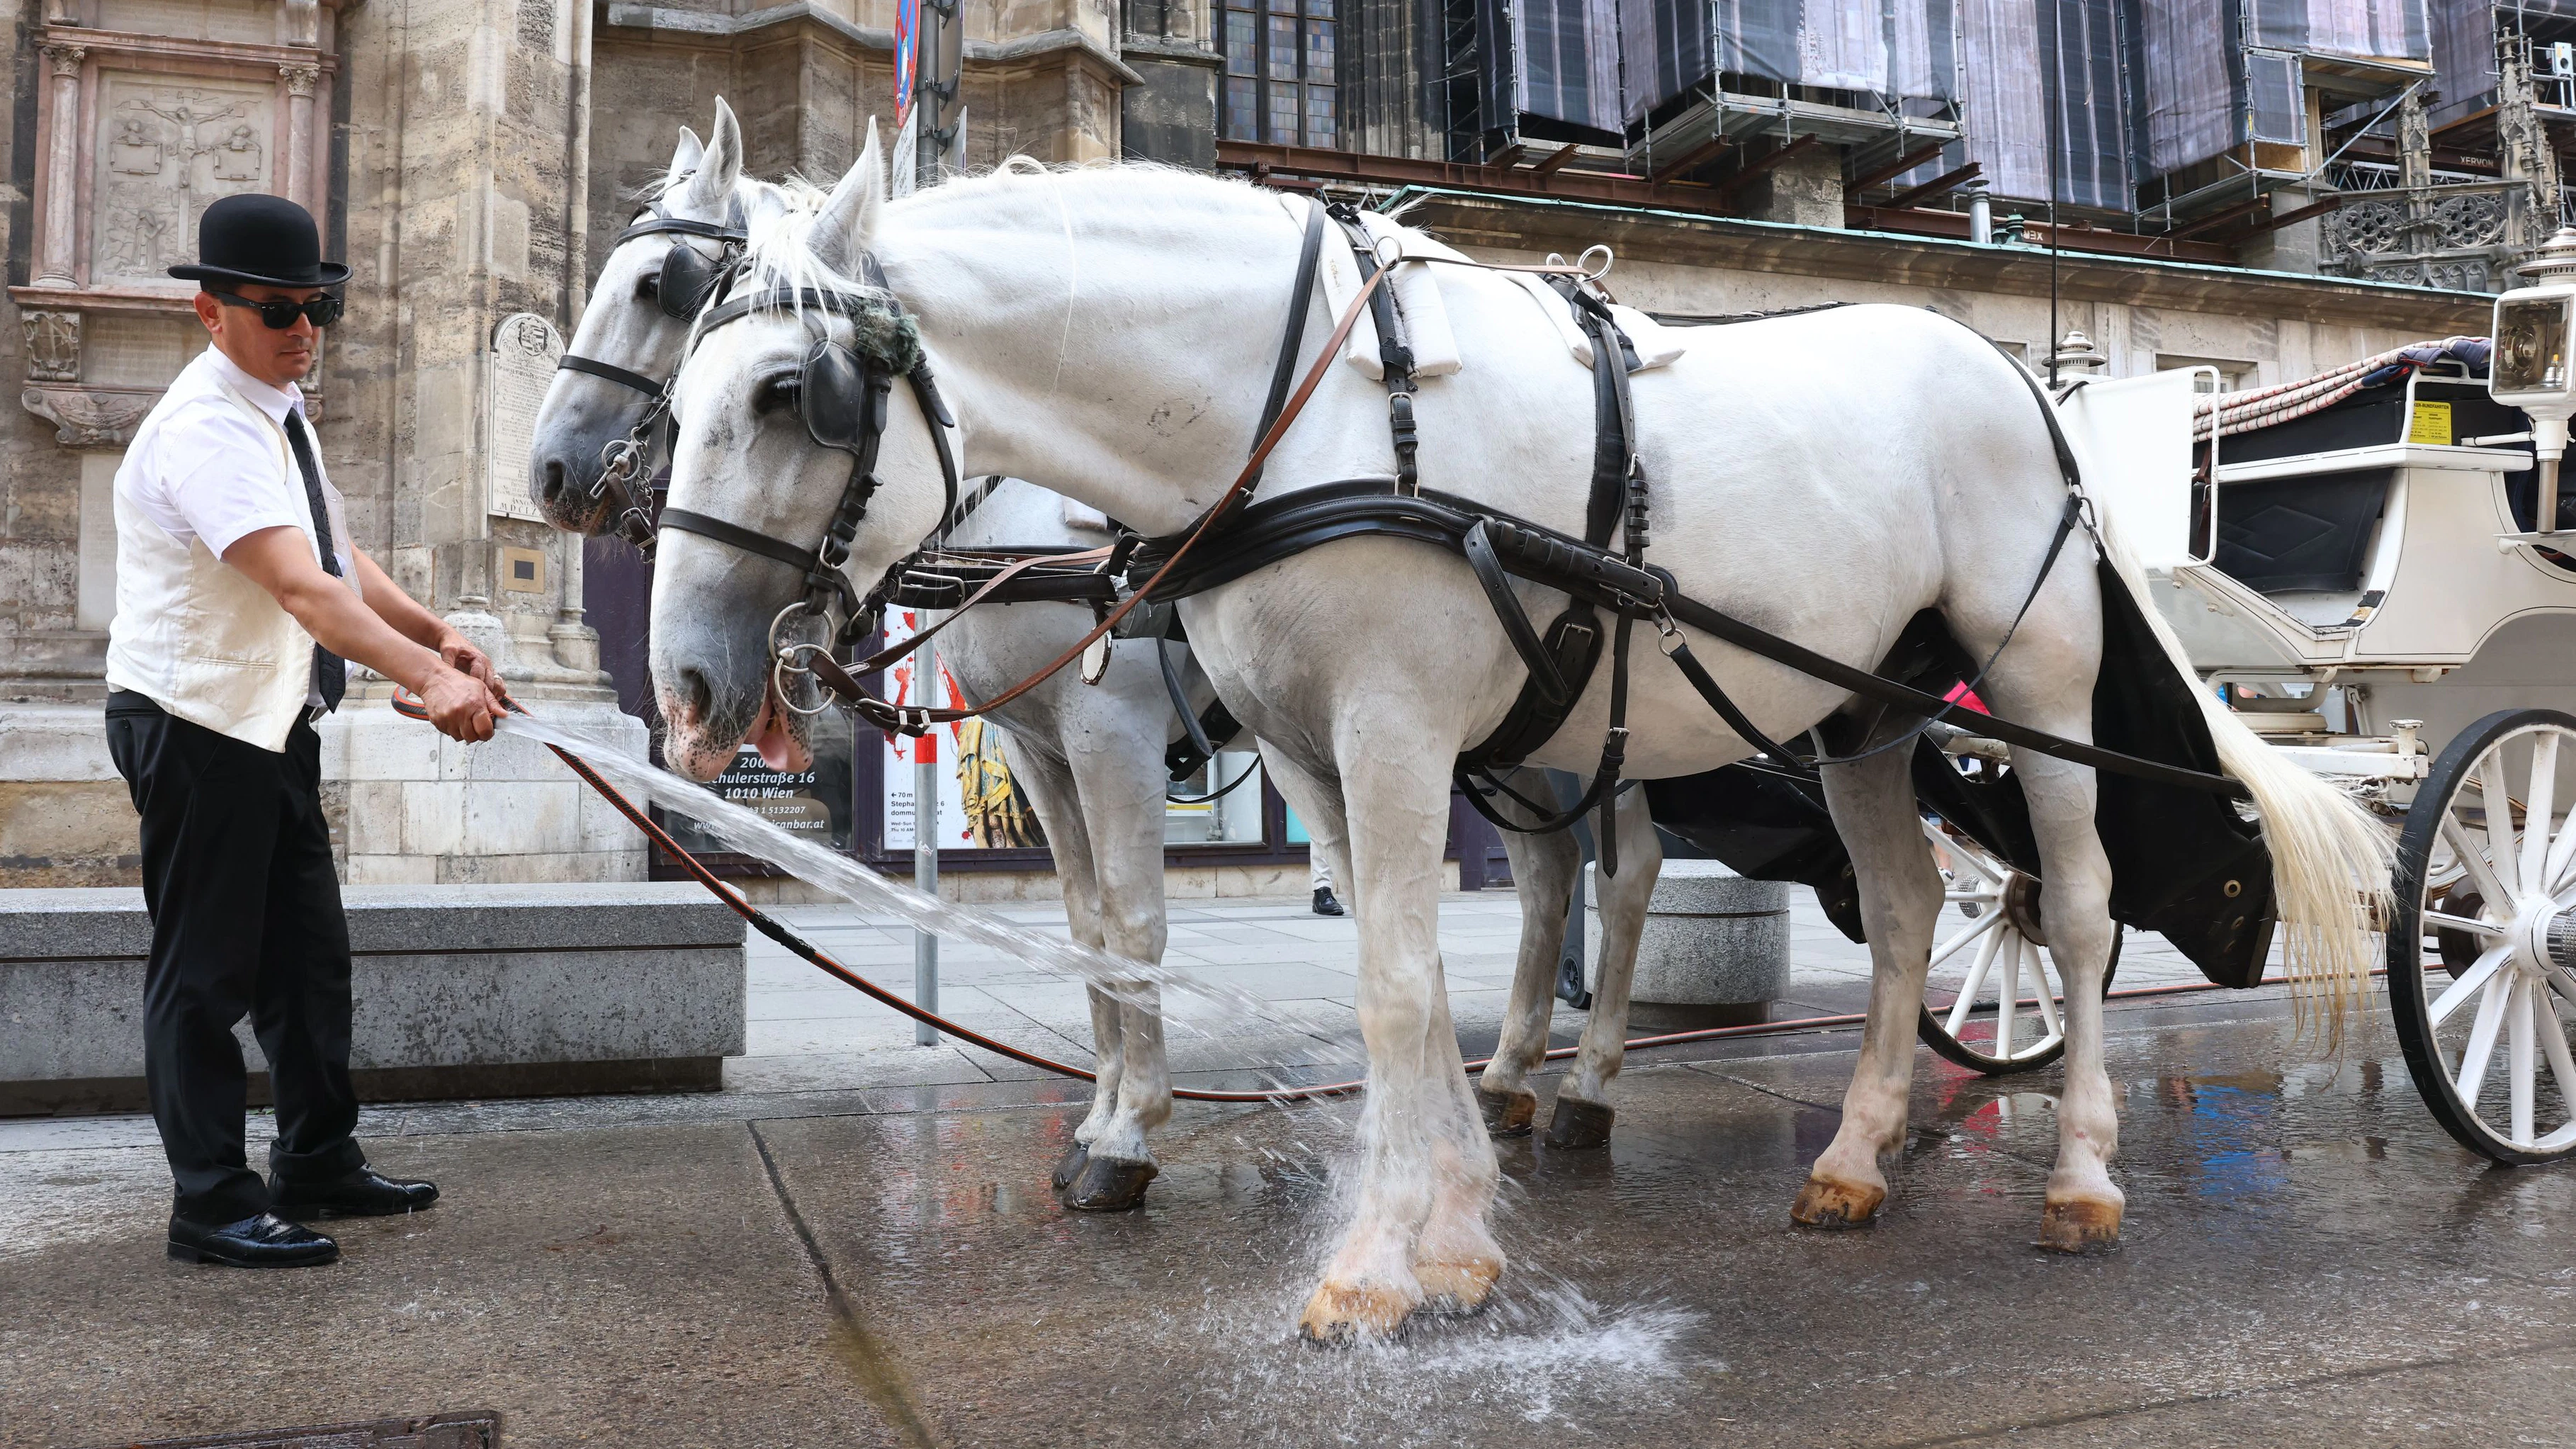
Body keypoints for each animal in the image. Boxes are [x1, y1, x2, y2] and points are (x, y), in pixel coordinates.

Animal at [650, 133, 2390, 1344]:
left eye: (794, 392)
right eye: (685, 375)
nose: (685, 679)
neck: (1306, 418)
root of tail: (2021, 379)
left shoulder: (1380, 728)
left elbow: (1386, 981)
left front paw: (1372, 1259)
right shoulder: (1310, 755)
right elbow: (1396, 986)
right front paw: (1456, 1237)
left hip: (2032, 678)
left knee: (2074, 906)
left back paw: (2083, 1175)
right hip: (1861, 710)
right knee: (1902, 913)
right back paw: (1853, 1155)